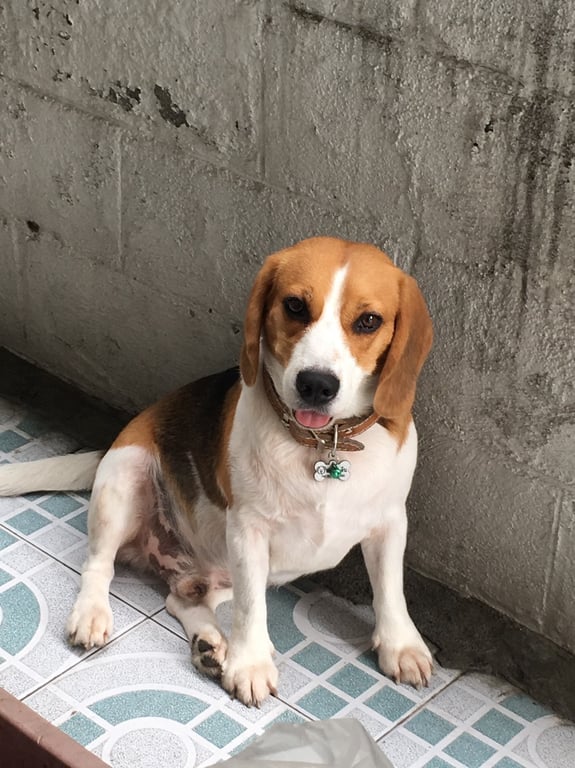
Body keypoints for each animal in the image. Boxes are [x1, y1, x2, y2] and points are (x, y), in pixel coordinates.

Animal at [0, 236, 433, 706]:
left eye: (369, 321)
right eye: (295, 306)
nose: (316, 384)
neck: (324, 445)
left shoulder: (390, 521)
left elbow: (390, 590)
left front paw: (401, 645)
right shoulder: (247, 530)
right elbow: (251, 608)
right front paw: (251, 664)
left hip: (216, 569)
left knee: (181, 600)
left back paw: (208, 645)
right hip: (124, 479)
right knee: (98, 565)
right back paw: (94, 615)